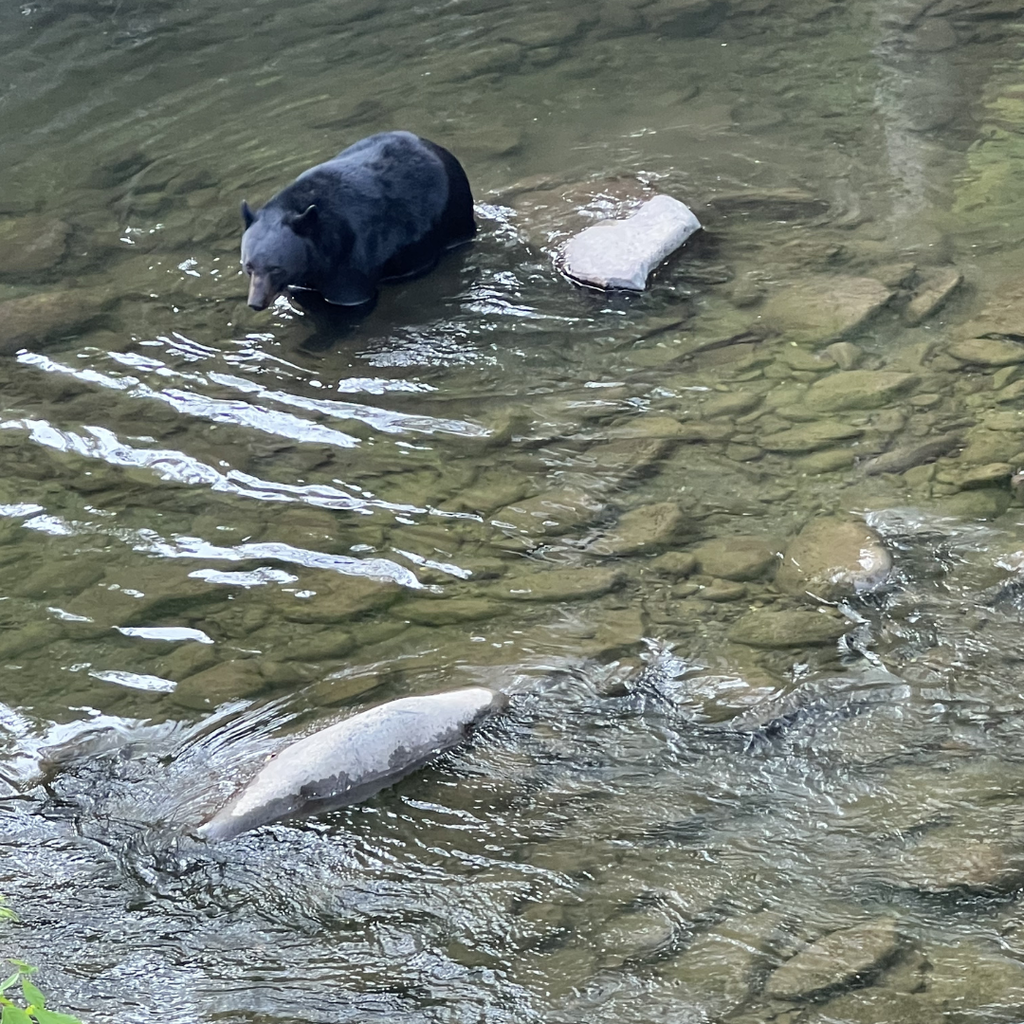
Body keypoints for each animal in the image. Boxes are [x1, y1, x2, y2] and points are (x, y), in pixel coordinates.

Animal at [239, 131, 476, 311]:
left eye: (276, 268)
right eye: (248, 266)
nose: (256, 303)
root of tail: (440, 149)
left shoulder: (351, 258)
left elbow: (349, 300)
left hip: (456, 213)